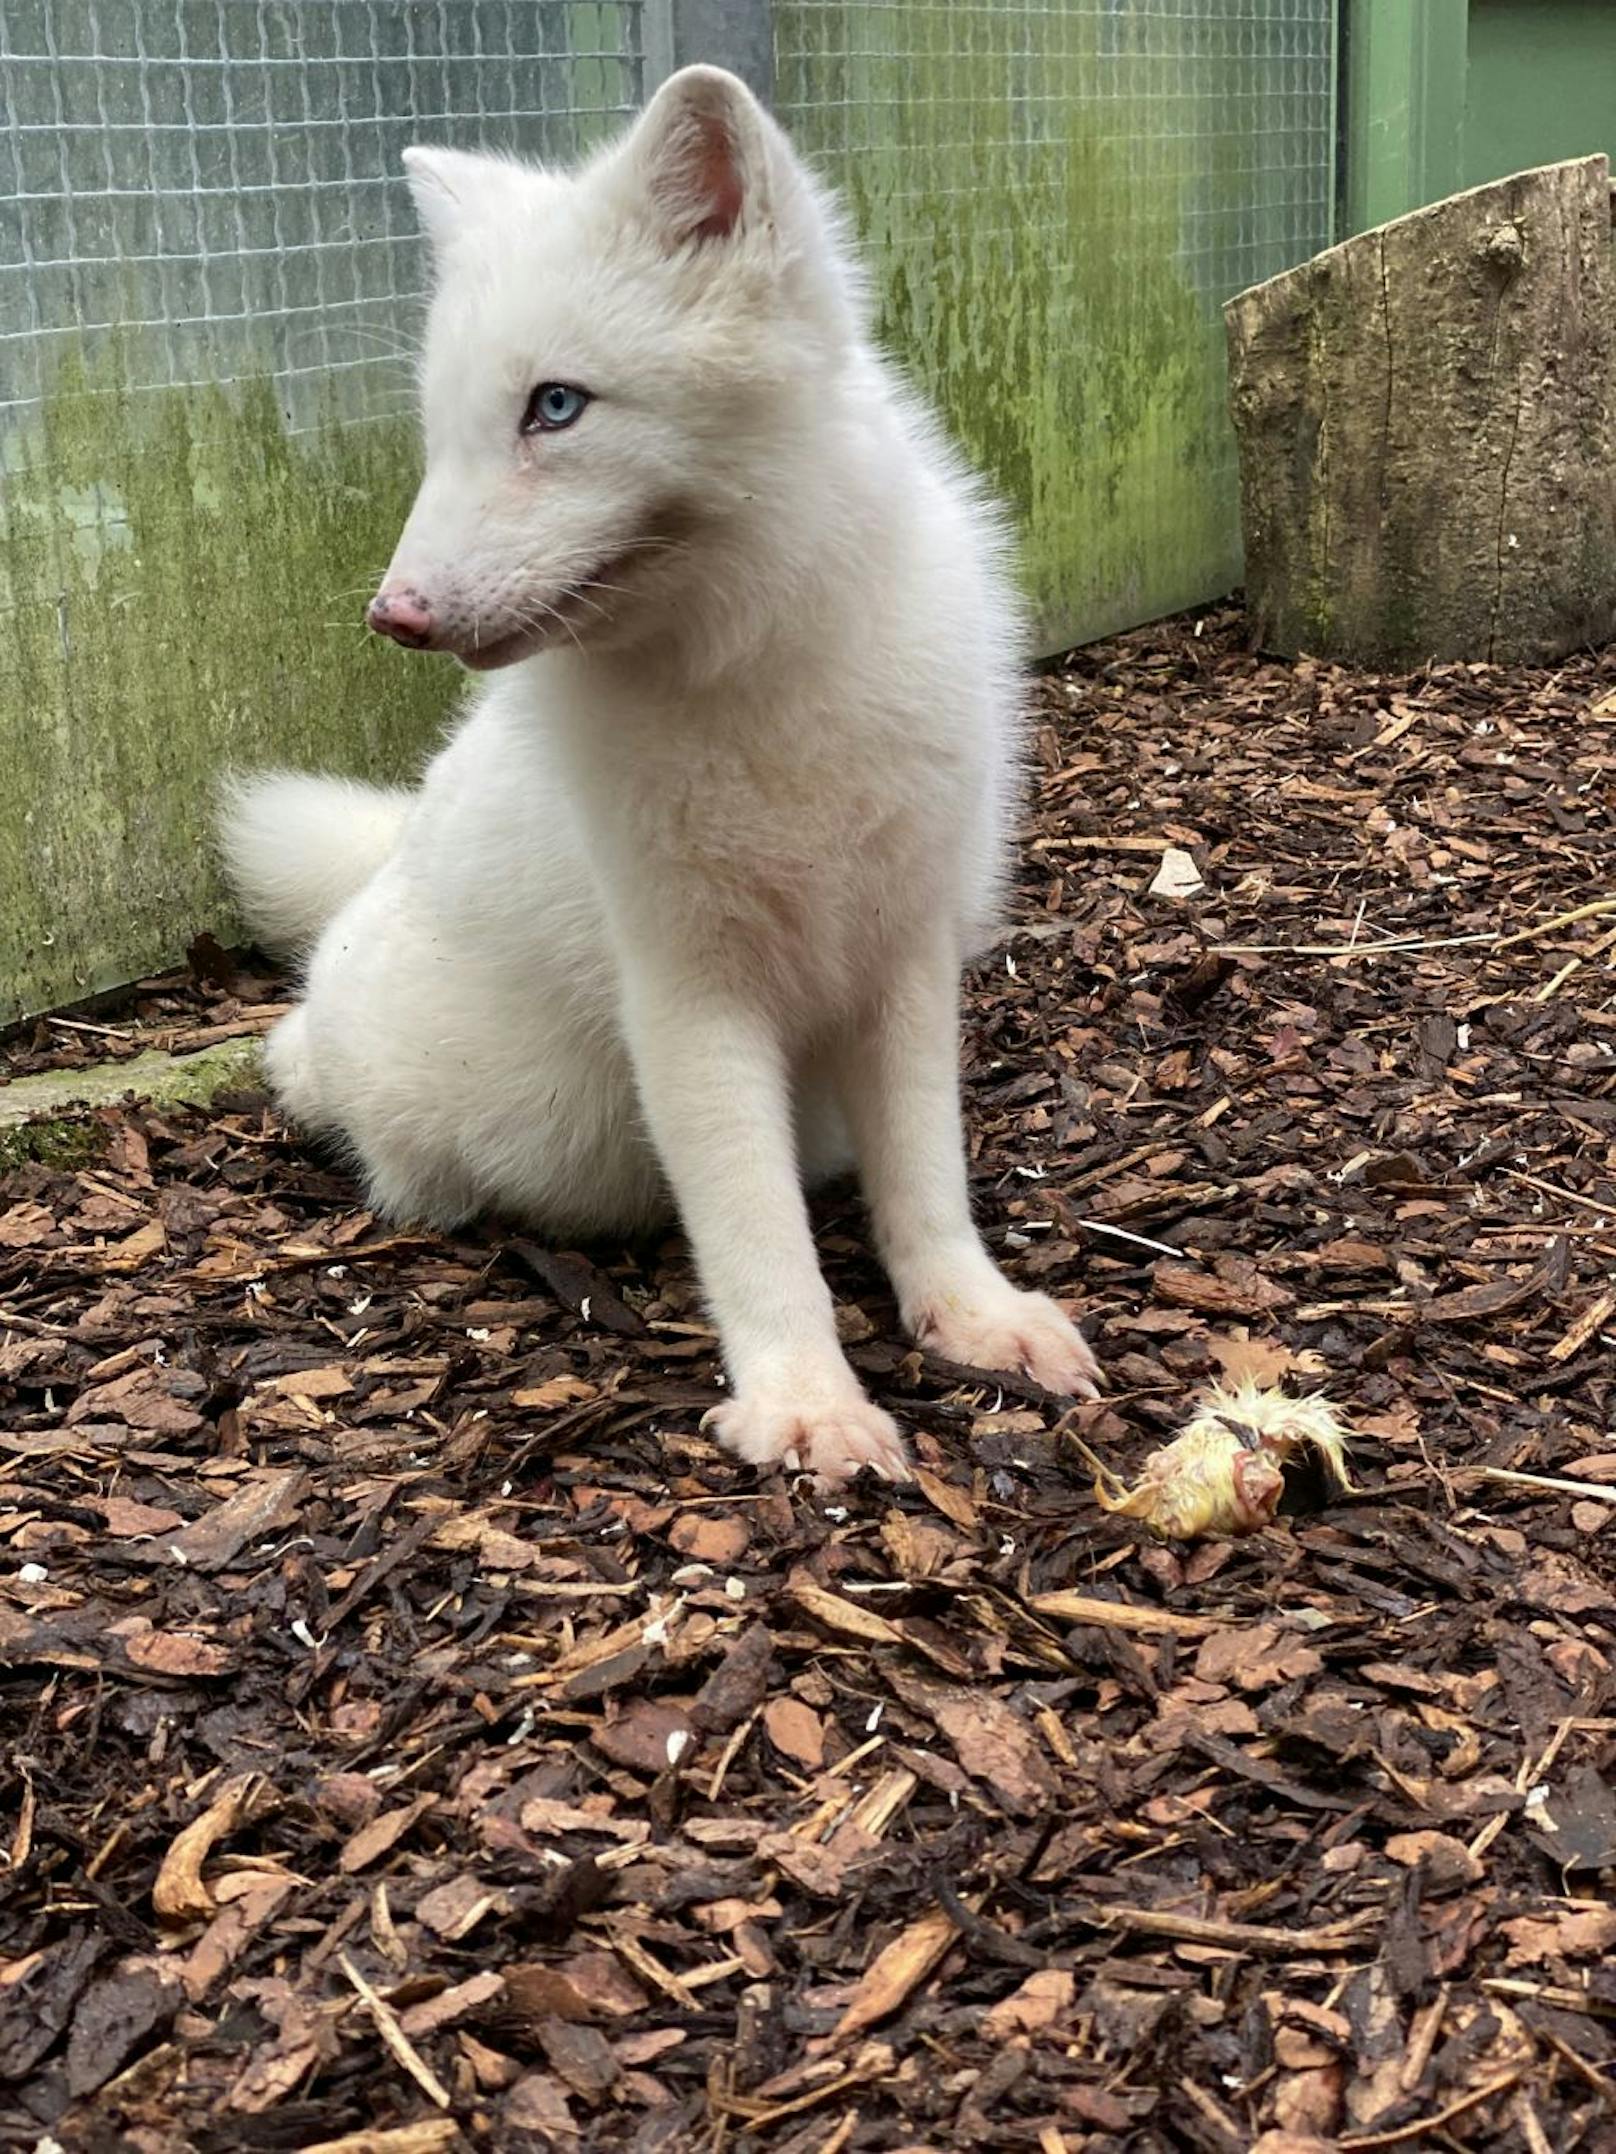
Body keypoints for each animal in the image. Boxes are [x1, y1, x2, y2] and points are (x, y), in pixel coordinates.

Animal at [221, 63, 1111, 1481]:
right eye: (438, 433)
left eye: (555, 405)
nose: (393, 616)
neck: (759, 681)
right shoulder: (689, 995)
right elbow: (754, 1227)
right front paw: (805, 1403)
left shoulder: (901, 958)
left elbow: (926, 1177)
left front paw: (970, 1318)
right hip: (389, 1086)